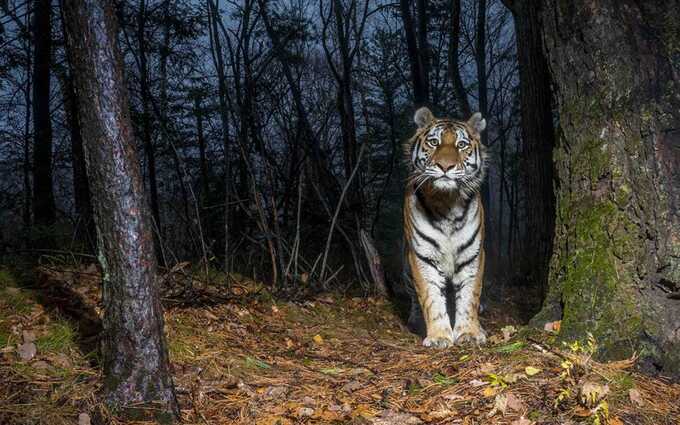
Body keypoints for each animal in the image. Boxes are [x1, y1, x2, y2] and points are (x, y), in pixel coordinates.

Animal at [402, 106, 486, 348]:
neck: (447, 202)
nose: (445, 166)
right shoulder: (421, 257)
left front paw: (469, 333)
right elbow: (430, 298)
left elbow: (469, 296)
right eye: (433, 142)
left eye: (462, 145)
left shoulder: (472, 254)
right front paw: (439, 336)